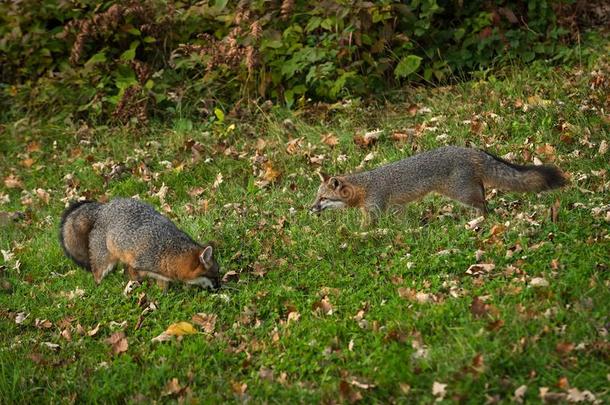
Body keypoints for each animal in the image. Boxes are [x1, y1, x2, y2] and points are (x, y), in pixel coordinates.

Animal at [59, 197, 220, 288]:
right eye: (214, 276)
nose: (219, 288)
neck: (168, 250)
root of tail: (103, 207)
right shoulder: (136, 264)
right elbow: (134, 277)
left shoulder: (161, 275)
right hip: (104, 261)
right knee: (96, 275)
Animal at [312, 145, 568, 221]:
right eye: (316, 197)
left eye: (323, 198)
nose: (310, 208)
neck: (365, 185)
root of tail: (470, 149)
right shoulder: (397, 206)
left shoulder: (375, 209)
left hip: (461, 194)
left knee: (483, 206)